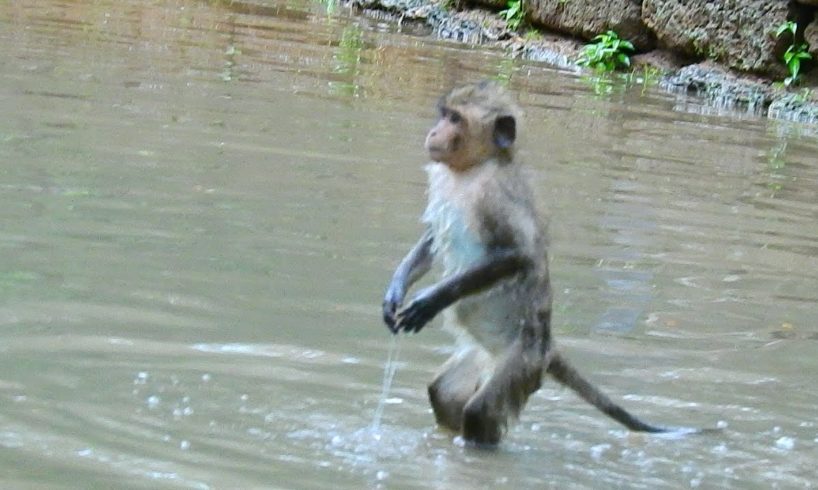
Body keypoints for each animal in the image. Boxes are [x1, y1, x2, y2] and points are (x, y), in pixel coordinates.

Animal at [382, 82, 696, 446]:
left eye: (455, 119)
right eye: (444, 114)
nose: (434, 131)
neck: (473, 169)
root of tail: (548, 346)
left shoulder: (496, 195)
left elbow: (518, 254)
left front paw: (430, 300)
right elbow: (433, 239)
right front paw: (396, 290)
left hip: (522, 360)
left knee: (481, 411)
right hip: (482, 355)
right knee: (442, 392)